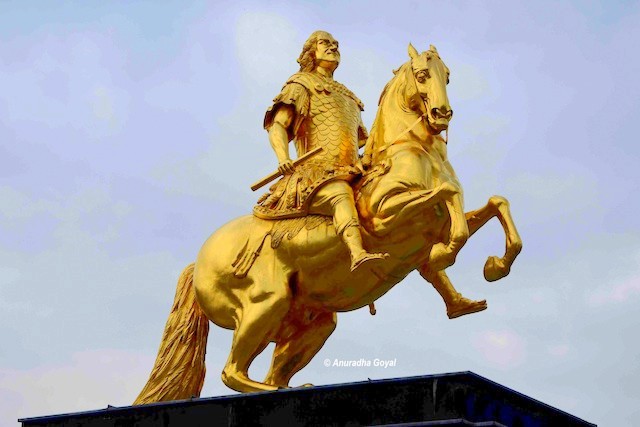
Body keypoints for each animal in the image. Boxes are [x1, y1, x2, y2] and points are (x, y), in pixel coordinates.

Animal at [134, 42, 520, 404]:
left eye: (448, 76)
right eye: (423, 75)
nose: (442, 114)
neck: (413, 152)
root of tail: (198, 261)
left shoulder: (435, 224)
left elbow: (495, 204)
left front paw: (494, 267)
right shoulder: (385, 217)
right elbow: (447, 197)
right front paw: (447, 253)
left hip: (312, 323)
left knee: (271, 371)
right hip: (265, 304)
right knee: (232, 371)